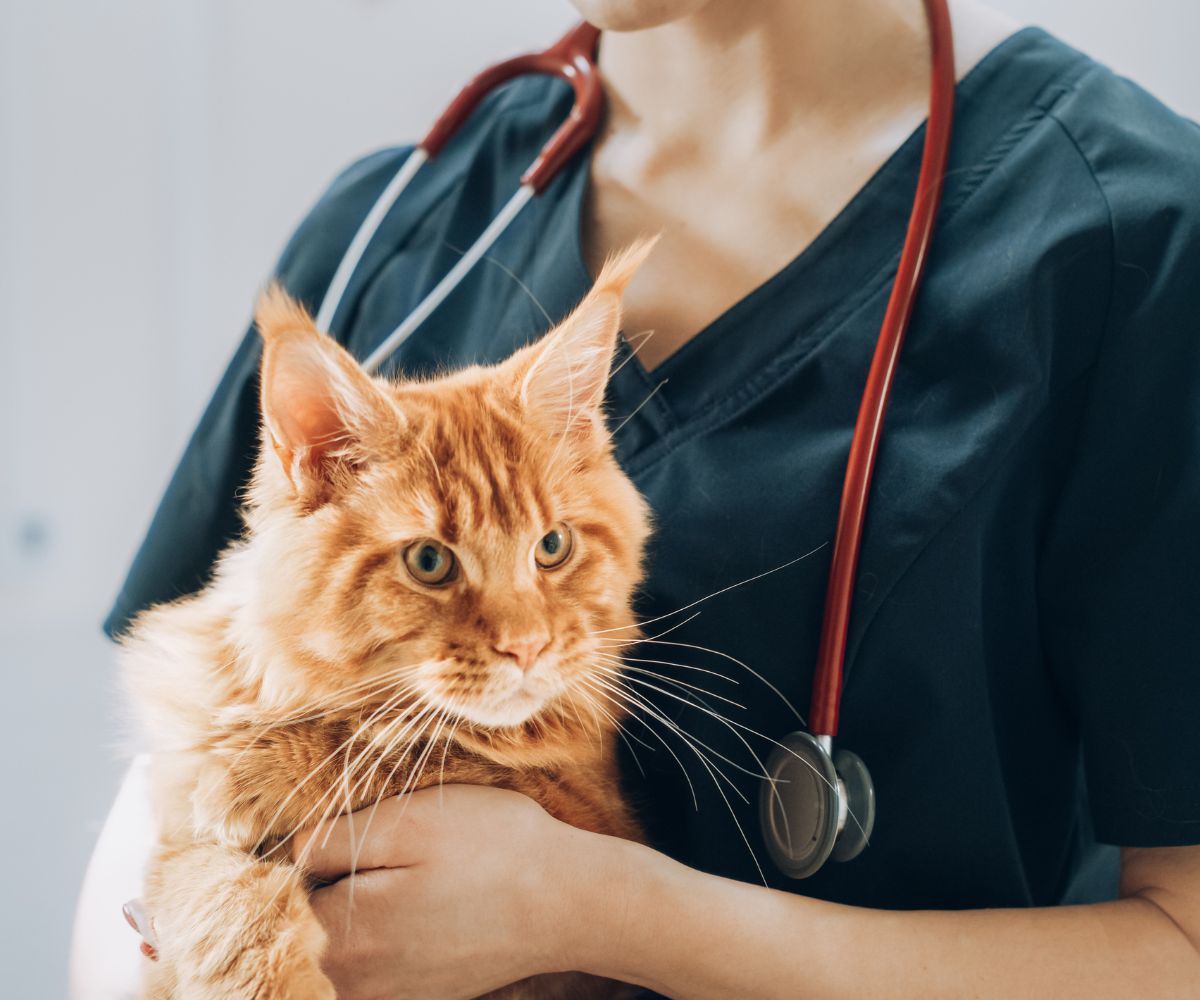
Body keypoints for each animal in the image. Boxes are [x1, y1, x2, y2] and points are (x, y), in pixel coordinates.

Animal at [121, 237, 657, 993]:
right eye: (429, 561)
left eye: (552, 547)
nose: (526, 646)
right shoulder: (176, 846)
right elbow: (221, 892)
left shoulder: (589, 809)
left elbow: (400, 749)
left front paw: (265, 767)